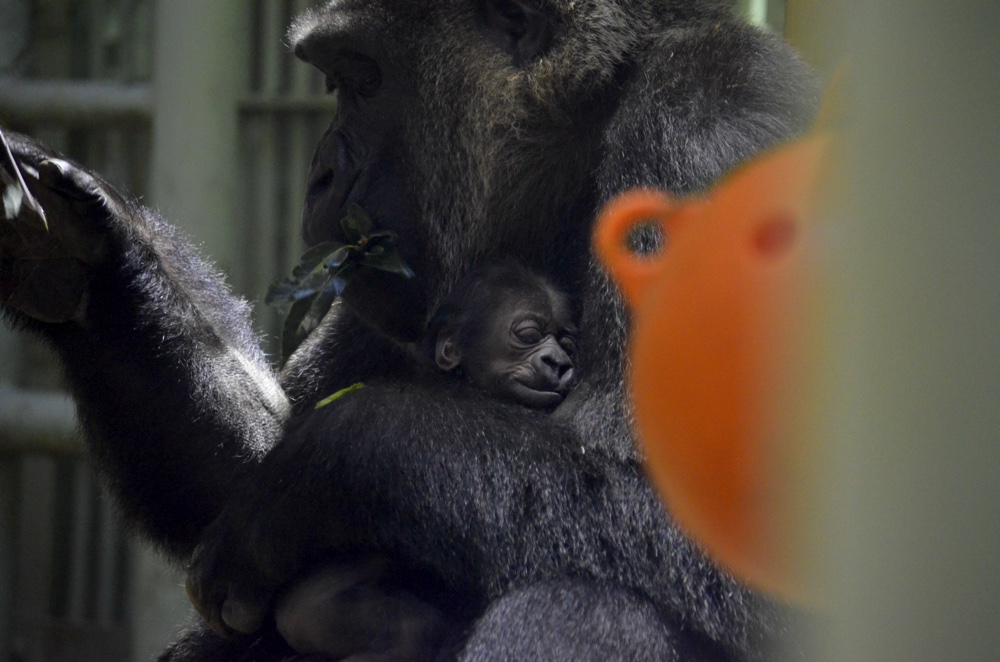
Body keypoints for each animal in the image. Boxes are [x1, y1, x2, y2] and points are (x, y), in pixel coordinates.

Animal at [0, 0, 812, 660]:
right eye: (335, 80)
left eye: (362, 78)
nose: (322, 175)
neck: (588, 115)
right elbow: (246, 460)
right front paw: (86, 248)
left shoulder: (708, 133)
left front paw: (337, 461)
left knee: (584, 602)